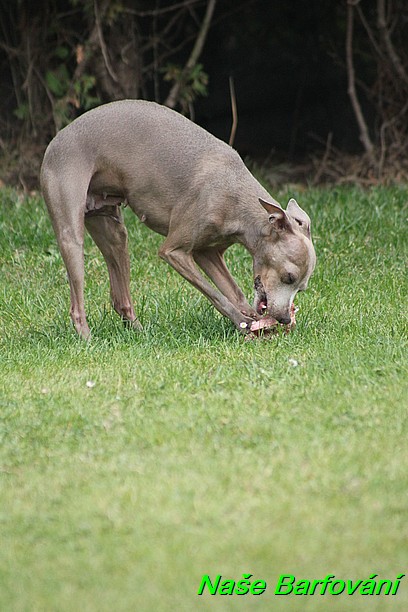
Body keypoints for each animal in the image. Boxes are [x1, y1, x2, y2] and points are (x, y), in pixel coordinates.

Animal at [40, 101, 316, 340]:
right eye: (288, 277)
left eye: (301, 288)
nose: (283, 319)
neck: (234, 194)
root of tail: (55, 140)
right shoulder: (175, 252)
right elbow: (216, 294)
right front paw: (242, 322)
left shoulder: (208, 253)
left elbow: (232, 291)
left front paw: (251, 320)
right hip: (71, 236)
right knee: (77, 303)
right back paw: (87, 339)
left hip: (113, 230)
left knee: (121, 298)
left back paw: (139, 333)